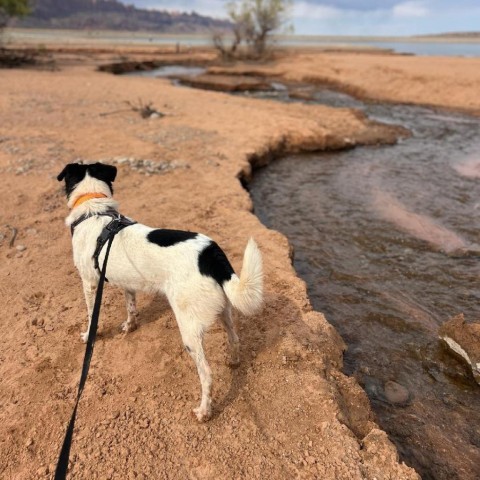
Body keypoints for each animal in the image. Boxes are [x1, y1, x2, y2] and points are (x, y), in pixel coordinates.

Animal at [59, 162, 266, 420]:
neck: (94, 209)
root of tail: (211, 255)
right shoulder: (128, 284)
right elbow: (131, 307)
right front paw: (130, 326)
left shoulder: (89, 282)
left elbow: (90, 316)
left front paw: (89, 335)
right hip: (224, 310)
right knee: (234, 339)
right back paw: (234, 362)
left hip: (189, 329)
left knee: (207, 374)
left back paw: (204, 410)